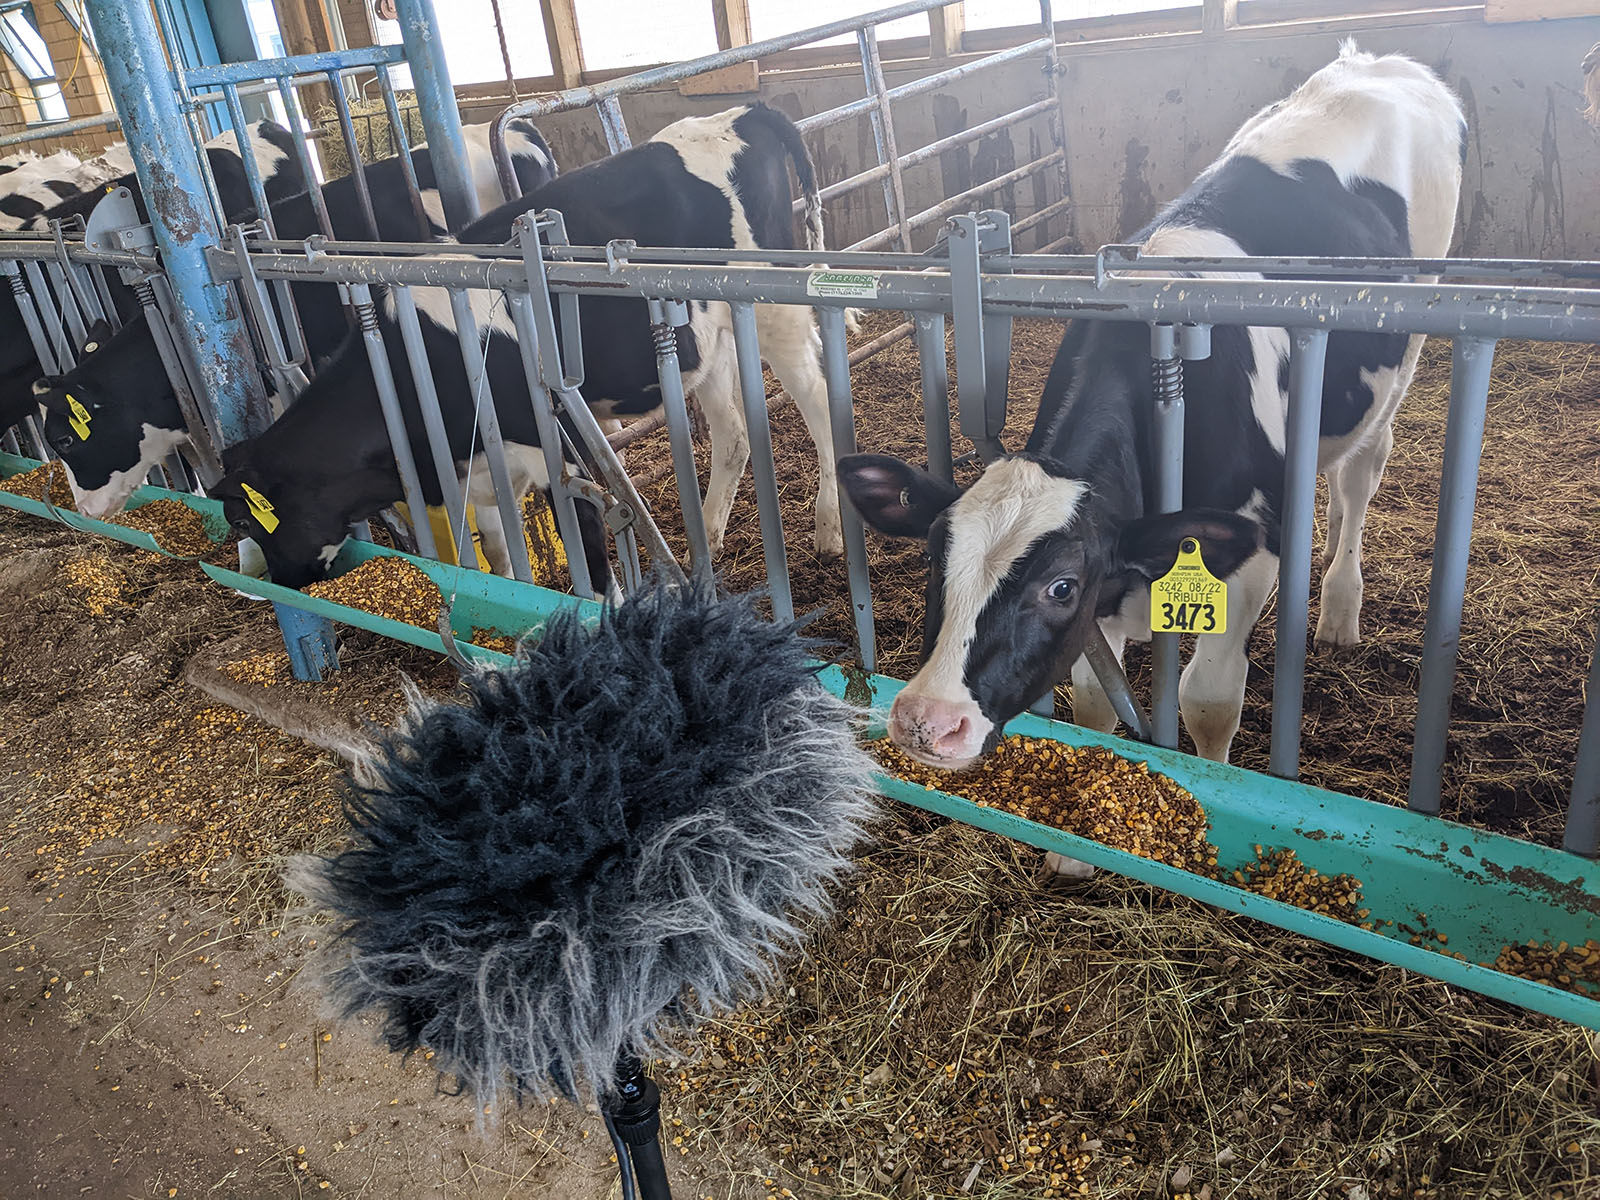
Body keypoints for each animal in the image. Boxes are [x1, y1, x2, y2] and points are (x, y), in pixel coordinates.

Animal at [212, 102, 851, 592]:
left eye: (246, 522)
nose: (282, 584)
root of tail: (738, 114)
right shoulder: (485, 474)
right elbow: (501, 557)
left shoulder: (556, 453)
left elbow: (592, 560)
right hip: (707, 341)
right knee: (734, 434)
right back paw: (707, 544)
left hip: (773, 309)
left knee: (820, 405)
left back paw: (830, 528)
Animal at [838, 44, 1465, 771]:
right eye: (931, 557)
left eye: (1061, 586)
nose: (926, 721)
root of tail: (1375, 62)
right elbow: (1095, 703)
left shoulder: (1247, 561)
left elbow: (1207, 701)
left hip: (1407, 345)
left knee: (1362, 473)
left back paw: (1340, 605)